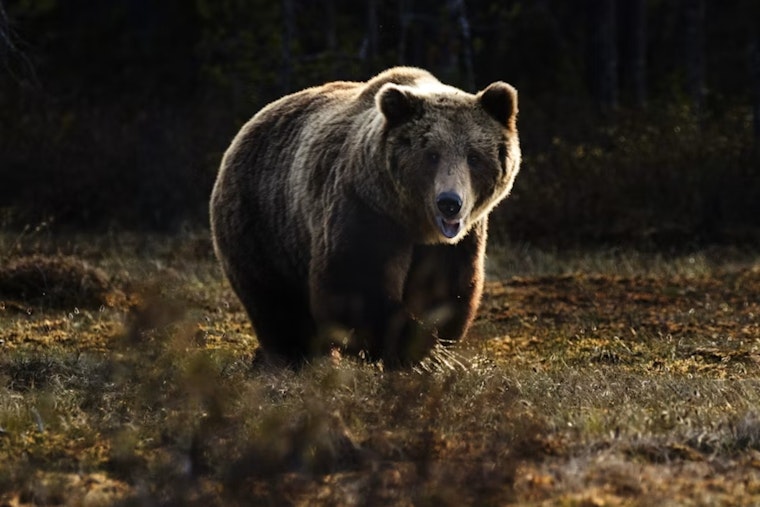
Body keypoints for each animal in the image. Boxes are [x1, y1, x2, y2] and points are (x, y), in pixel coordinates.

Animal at [210, 67, 520, 367]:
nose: (449, 203)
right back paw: (294, 357)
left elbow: (445, 289)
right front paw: (412, 349)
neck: (413, 222)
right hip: (263, 222)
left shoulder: (456, 241)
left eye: (473, 157)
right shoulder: (364, 210)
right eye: (431, 155)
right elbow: (355, 283)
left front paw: (430, 347)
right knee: (276, 302)